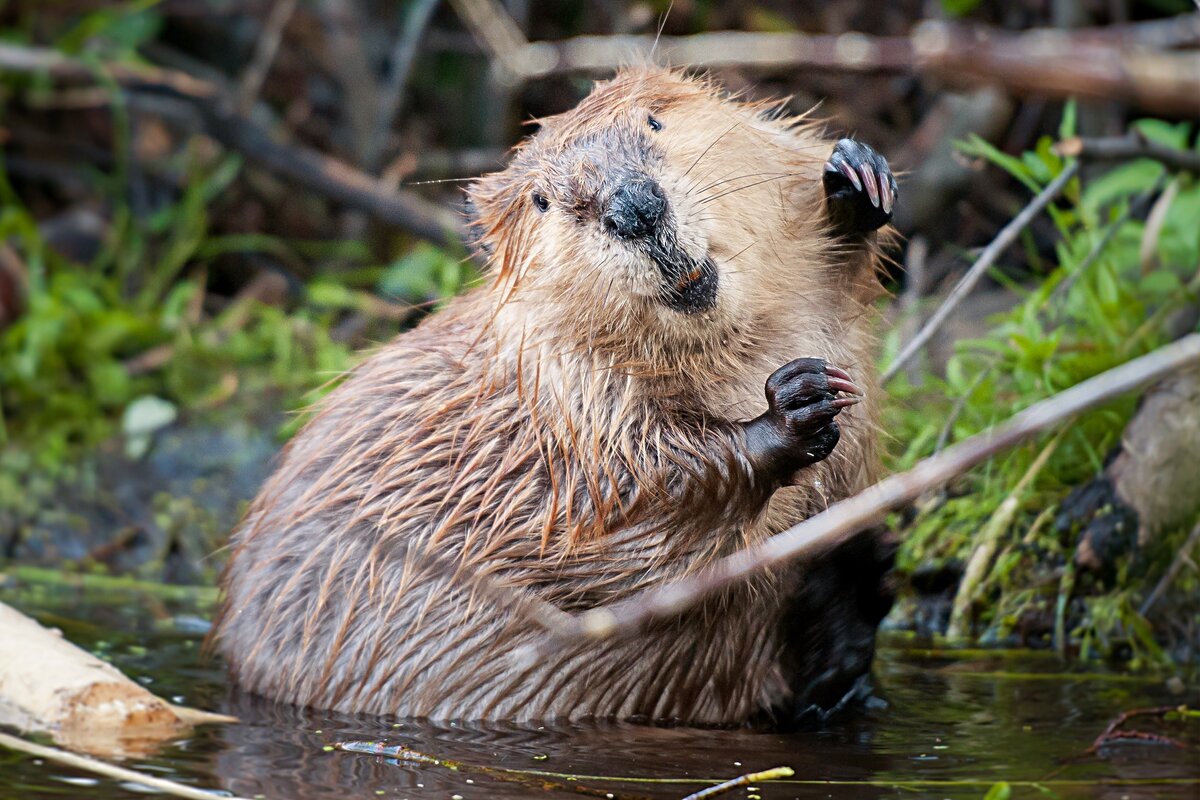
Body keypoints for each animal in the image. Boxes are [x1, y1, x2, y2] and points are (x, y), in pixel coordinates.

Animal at [213, 68, 902, 724]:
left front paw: (856, 179)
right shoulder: (562, 407)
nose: (634, 209)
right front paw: (795, 405)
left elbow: (838, 276)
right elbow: (627, 530)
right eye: (542, 200)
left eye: (654, 121)